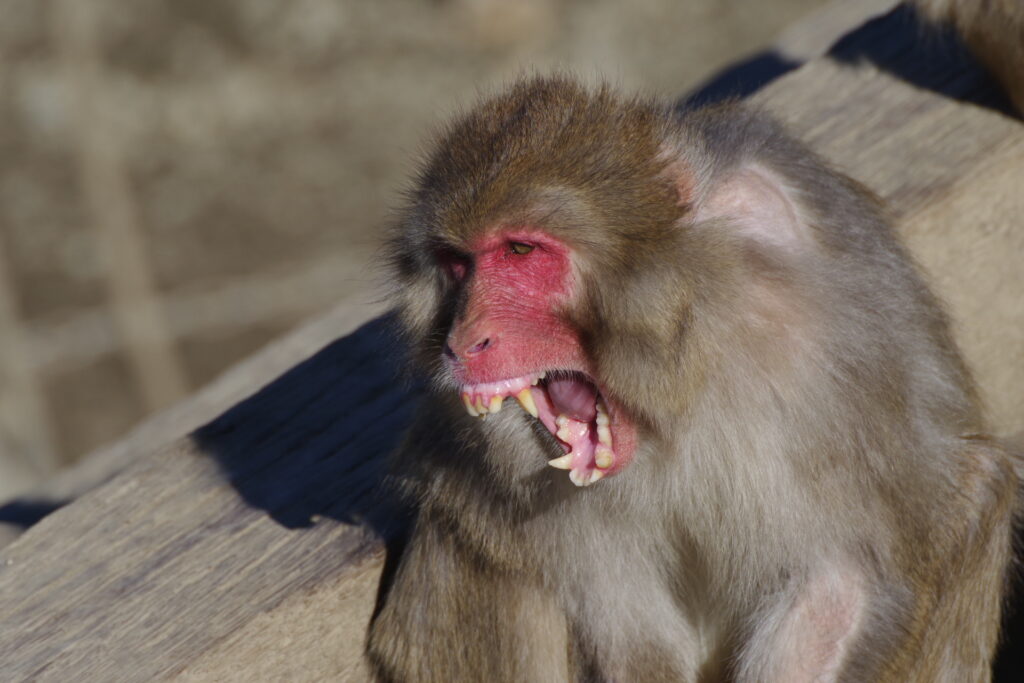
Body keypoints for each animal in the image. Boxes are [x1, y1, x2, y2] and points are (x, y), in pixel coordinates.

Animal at [364, 77, 1019, 679]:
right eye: (457, 264)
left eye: (521, 251)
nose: (463, 342)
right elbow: (621, 620)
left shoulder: (822, 372)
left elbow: (841, 581)